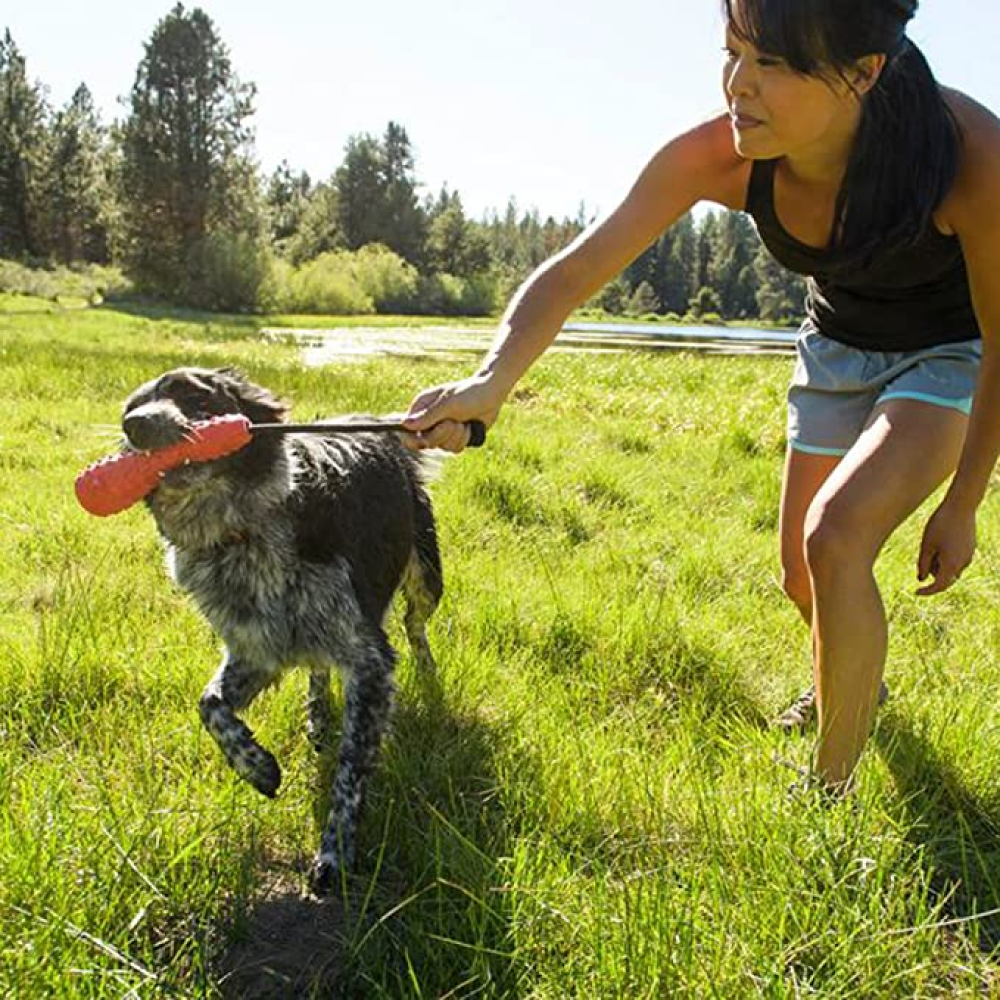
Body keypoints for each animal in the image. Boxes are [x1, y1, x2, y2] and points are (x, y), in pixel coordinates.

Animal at [122, 366, 442, 892]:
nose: (136, 426)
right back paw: (317, 715)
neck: (242, 532)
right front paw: (256, 767)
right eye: (129, 409)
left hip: (425, 577)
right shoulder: (257, 649)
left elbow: (350, 771)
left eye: (192, 392)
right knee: (317, 666)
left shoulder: (369, 660)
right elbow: (209, 705)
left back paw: (428, 675)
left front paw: (335, 853)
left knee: (415, 627)